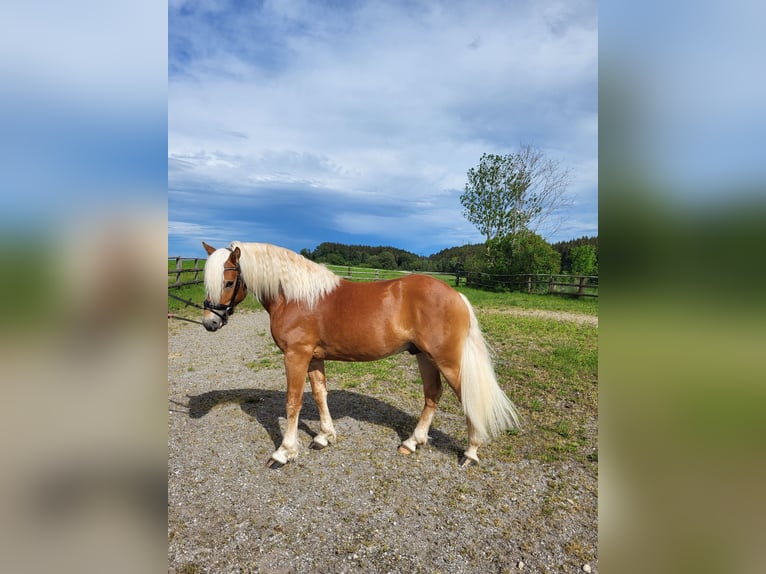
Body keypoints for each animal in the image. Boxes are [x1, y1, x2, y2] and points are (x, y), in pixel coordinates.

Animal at [201, 241, 520, 470]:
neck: (296, 297)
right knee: (432, 394)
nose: (209, 322)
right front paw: (324, 437)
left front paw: (284, 452)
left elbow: (293, 402)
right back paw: (412, 442)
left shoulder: (296, 356)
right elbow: (320, 394)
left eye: (228, 283)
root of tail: (456, 295)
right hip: (425, 357)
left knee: (465, 396)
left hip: (447, 360)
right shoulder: (314, 357)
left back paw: (471, 453)